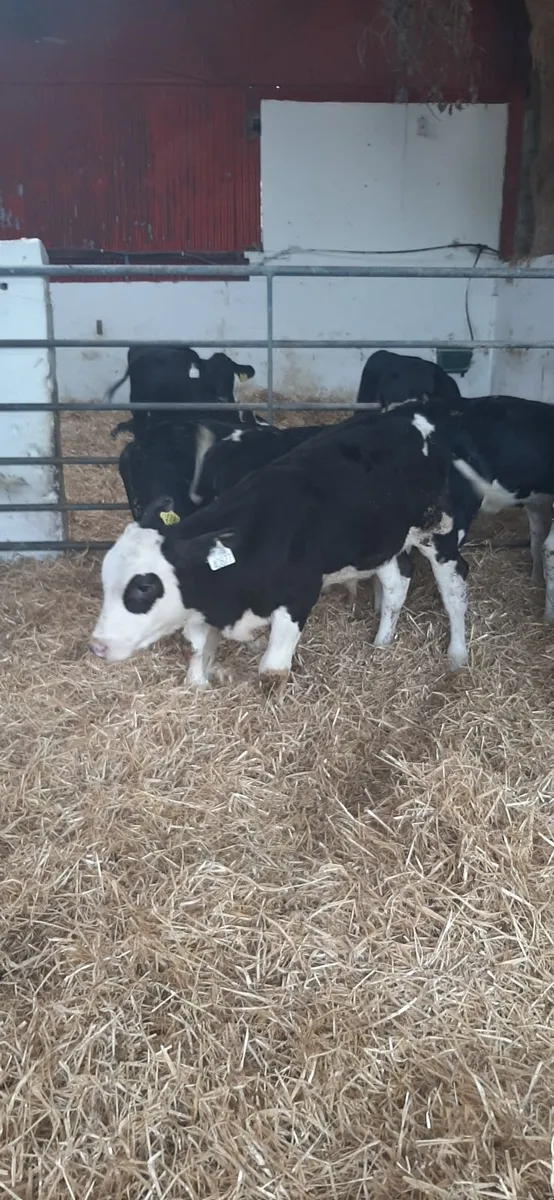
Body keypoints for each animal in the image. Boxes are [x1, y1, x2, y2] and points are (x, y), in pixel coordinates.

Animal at [89, 408, 470, 687]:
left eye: (144, 587)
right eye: (106, 582)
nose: (97, 645)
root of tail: (411, 418)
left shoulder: (298, 597)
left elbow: (272, 670)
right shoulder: (206, 603)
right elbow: (196, 650)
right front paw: (201, 683)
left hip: (439, 532)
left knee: (454, 586)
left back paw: (457, 655)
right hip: (381, 540)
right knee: (396, 583)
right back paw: (381, 643)